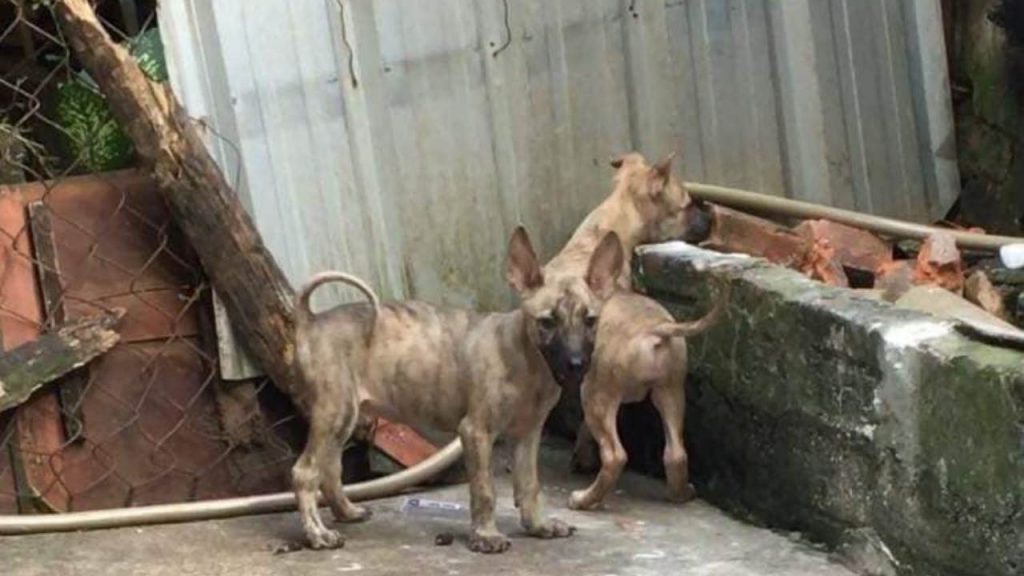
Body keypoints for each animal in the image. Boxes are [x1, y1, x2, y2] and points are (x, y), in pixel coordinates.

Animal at [290, 224, 622, 553]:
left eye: (590, 320)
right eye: (547, 322)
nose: (577, 364)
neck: (528, 361)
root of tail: (310, 320)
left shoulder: (527, 434)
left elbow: (530, 485)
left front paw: (538, 526)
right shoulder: (476, 431)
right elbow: (484, 490)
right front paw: (486, 536)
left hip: (342, 420)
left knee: (330, 470)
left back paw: (346, 512)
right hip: (335, 413)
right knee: (305, 472)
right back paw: (317, 534)